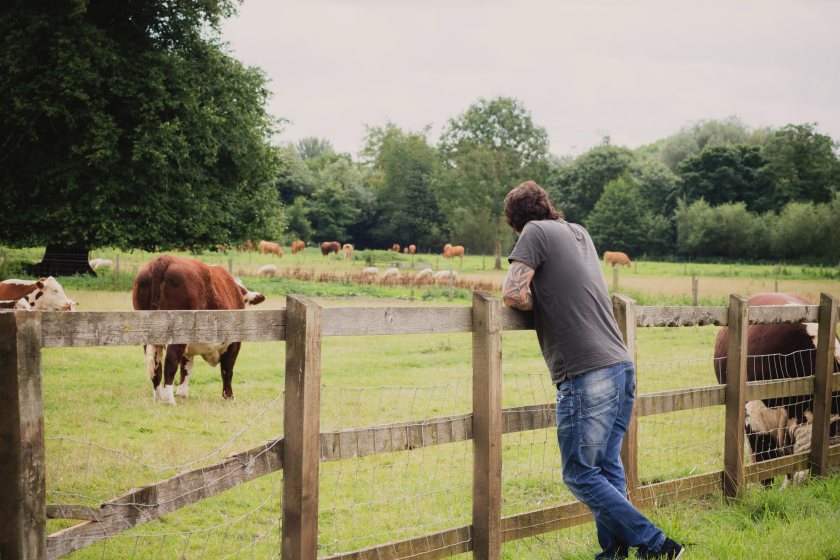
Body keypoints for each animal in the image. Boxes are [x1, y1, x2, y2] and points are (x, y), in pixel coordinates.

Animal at [132, 256, 266, 404]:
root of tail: (164, 259)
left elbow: (186, 368)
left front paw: (182, 393)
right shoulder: (233, 343)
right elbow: (227, 369)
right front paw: (229, 396)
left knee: (157, 367)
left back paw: (158, 399)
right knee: (170, 363)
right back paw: (169, 401)